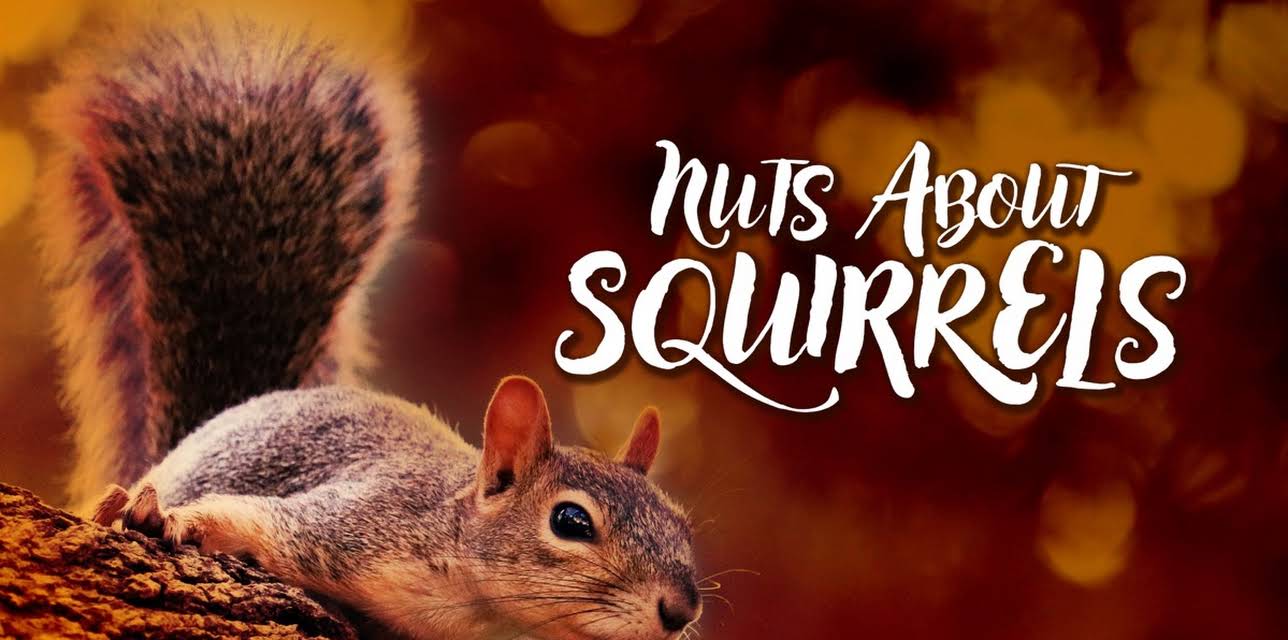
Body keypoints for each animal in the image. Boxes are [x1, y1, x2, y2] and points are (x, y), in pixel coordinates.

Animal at [35, 8, 701, 640]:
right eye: (571, 521)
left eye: (682, 523)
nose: (681, 609)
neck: (479, 613)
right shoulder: (354, 524)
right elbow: (245, 517)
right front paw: (174, 519)